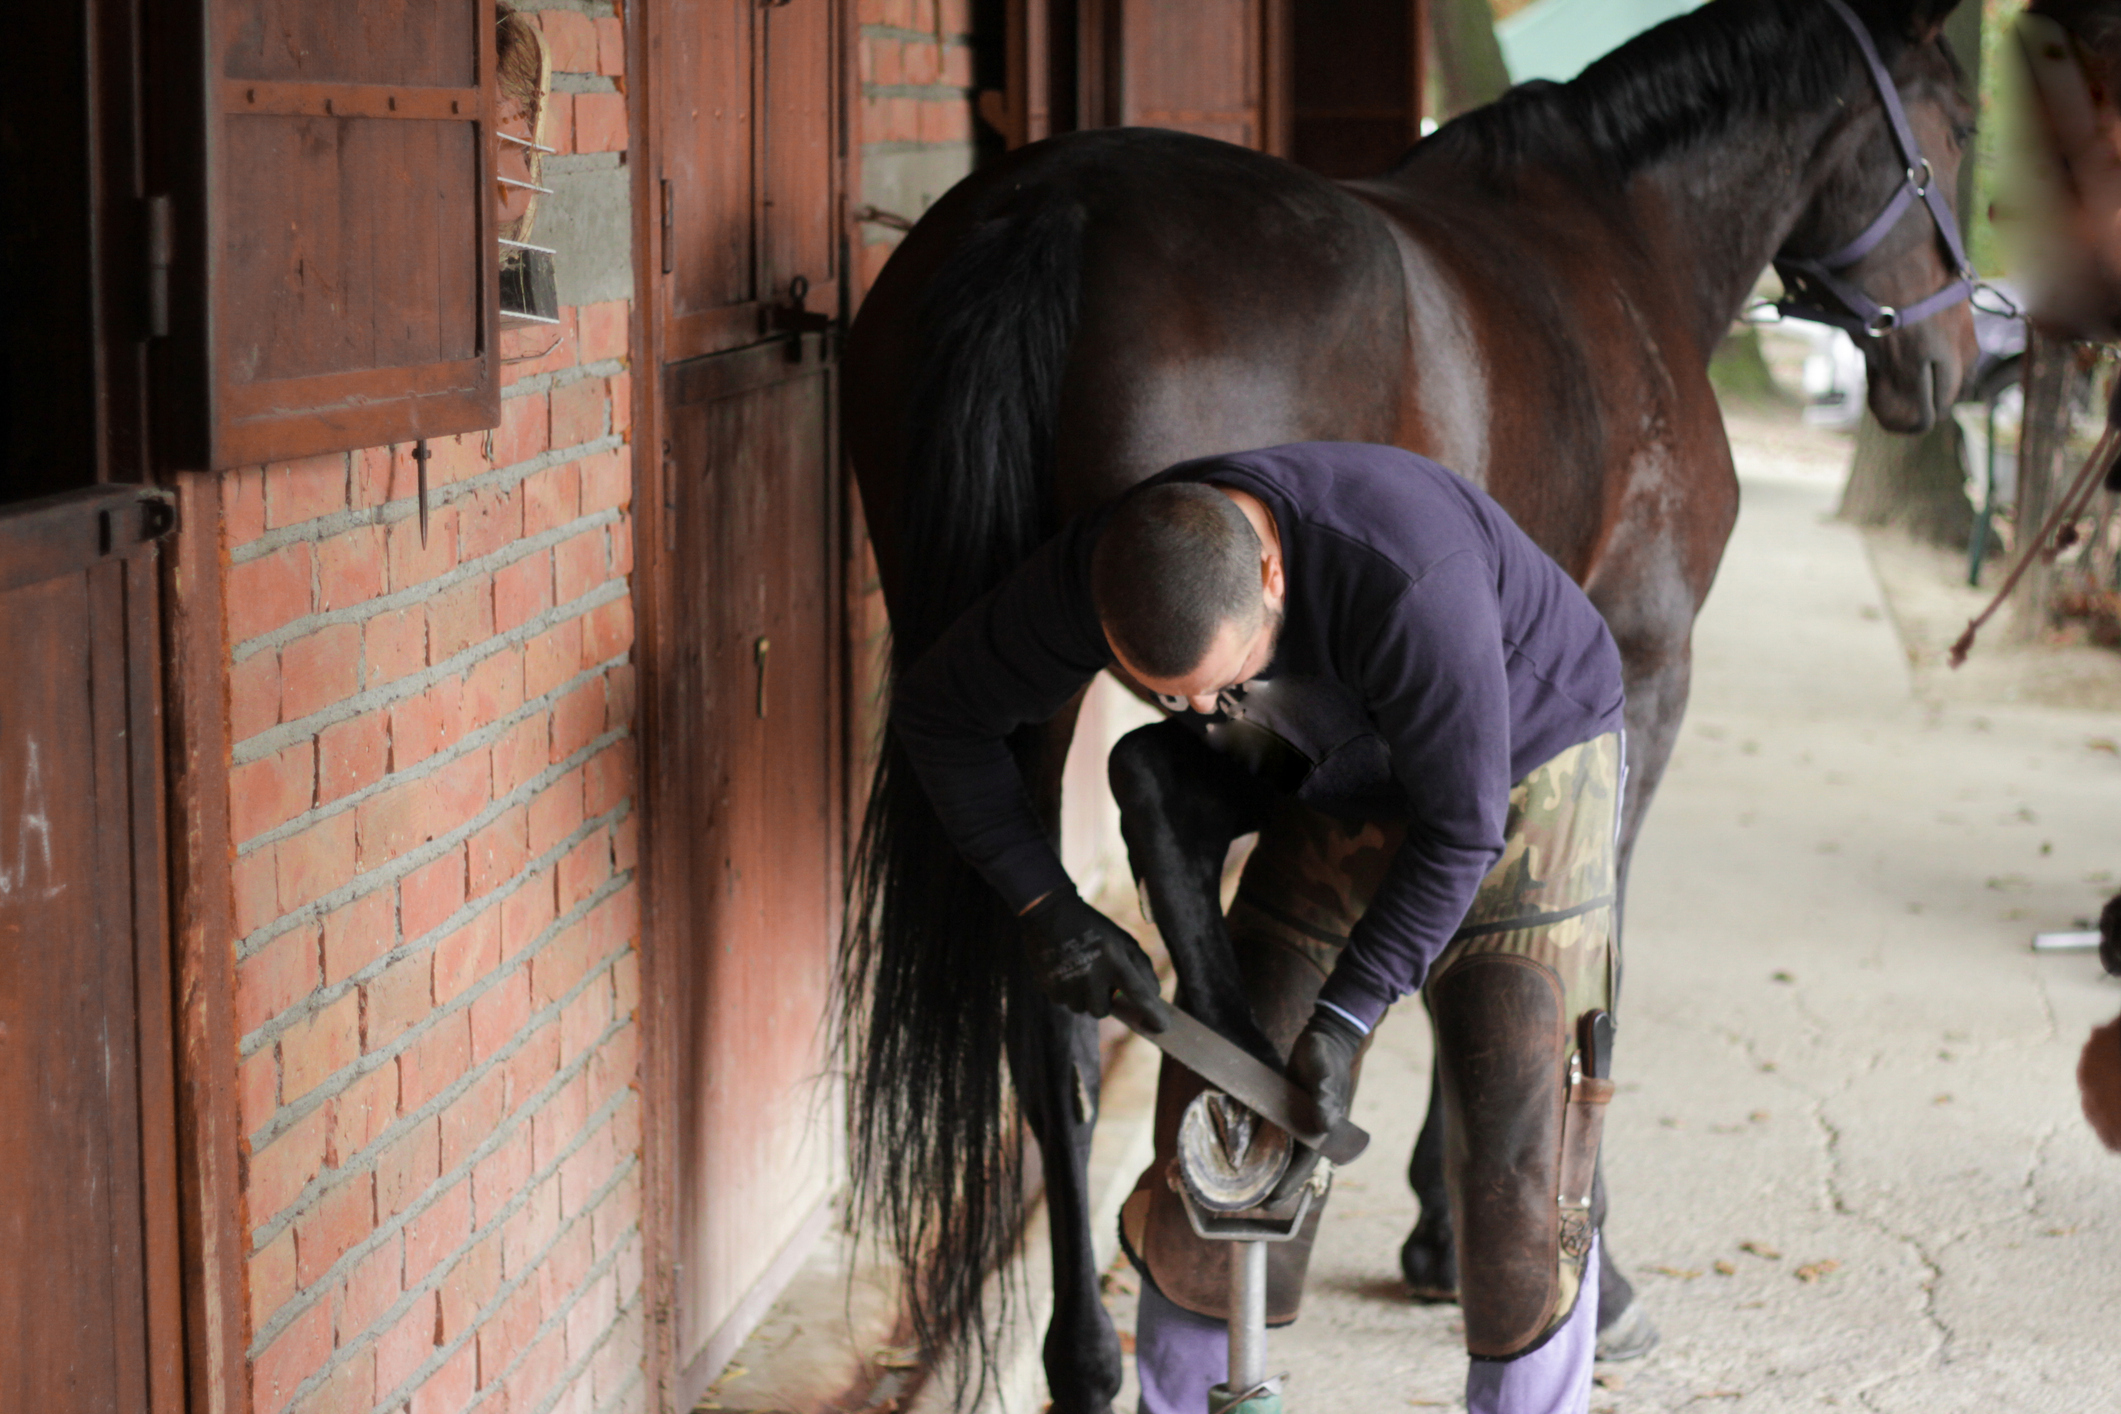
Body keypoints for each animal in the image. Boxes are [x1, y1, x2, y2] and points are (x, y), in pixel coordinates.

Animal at [836, 2, 1978, 1408]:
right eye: (1960, 123)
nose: (1958, 363)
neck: (1628, 234)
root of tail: (1053, 209)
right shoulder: (1643, 674)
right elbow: (1562, 943)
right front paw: (1520, 1250)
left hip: (1032, 671)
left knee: (1051, 995)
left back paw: (1094, 1343)